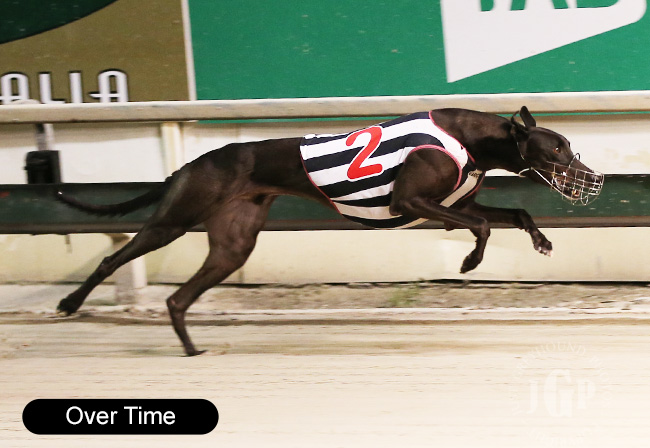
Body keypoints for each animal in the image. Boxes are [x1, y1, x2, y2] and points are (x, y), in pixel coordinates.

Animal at [55, 106, 603, 356]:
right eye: (556, 149)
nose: (593, 178)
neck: (472, 138)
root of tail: (190, 165)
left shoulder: (454, 203)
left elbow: (516, 214)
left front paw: (541, 241)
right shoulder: (413, 202)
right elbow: (485, 224)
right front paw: (470, 261)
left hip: (233, 244)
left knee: (178, 297)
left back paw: (191, 348)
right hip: (175, 219)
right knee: (113, 258)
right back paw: (70, 303)